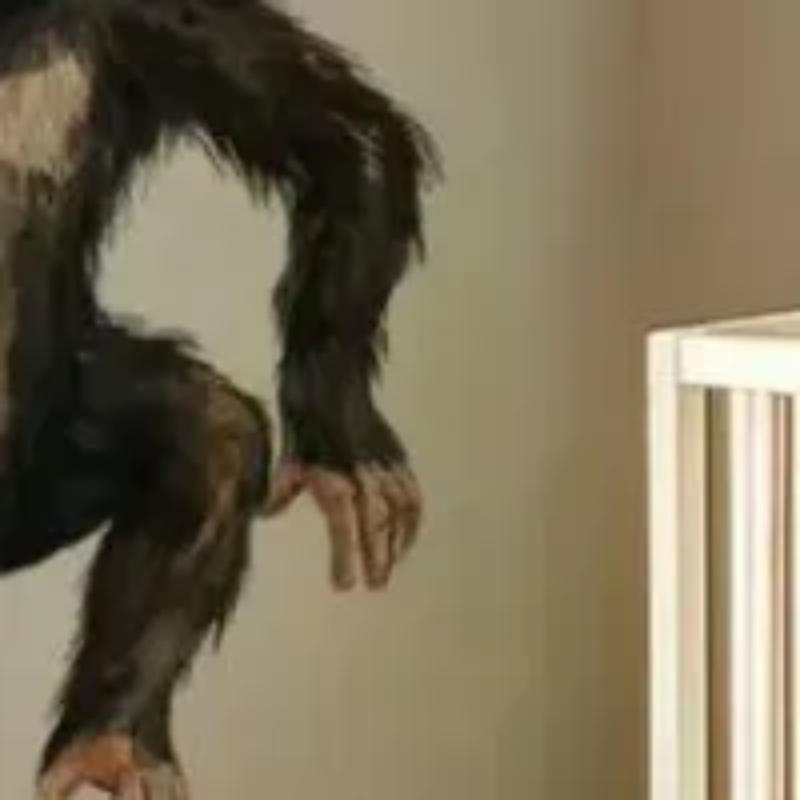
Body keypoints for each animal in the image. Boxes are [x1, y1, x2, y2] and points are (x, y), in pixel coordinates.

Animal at [0, 1, 438, 797]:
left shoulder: (156, 15)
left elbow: (339, 135)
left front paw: (343, 448)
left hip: (45, 475)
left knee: (214, 429)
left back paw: (109, 741)